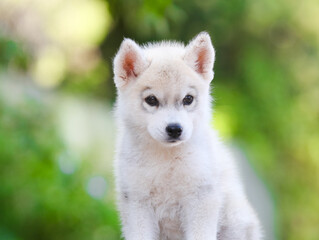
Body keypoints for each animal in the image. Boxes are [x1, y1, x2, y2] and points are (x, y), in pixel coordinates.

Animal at [113, 32, 262, 240]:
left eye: (188, 99)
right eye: (151, 100)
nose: (175, 129)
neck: (166, 160)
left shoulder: (201, 200)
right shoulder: (137, 203)